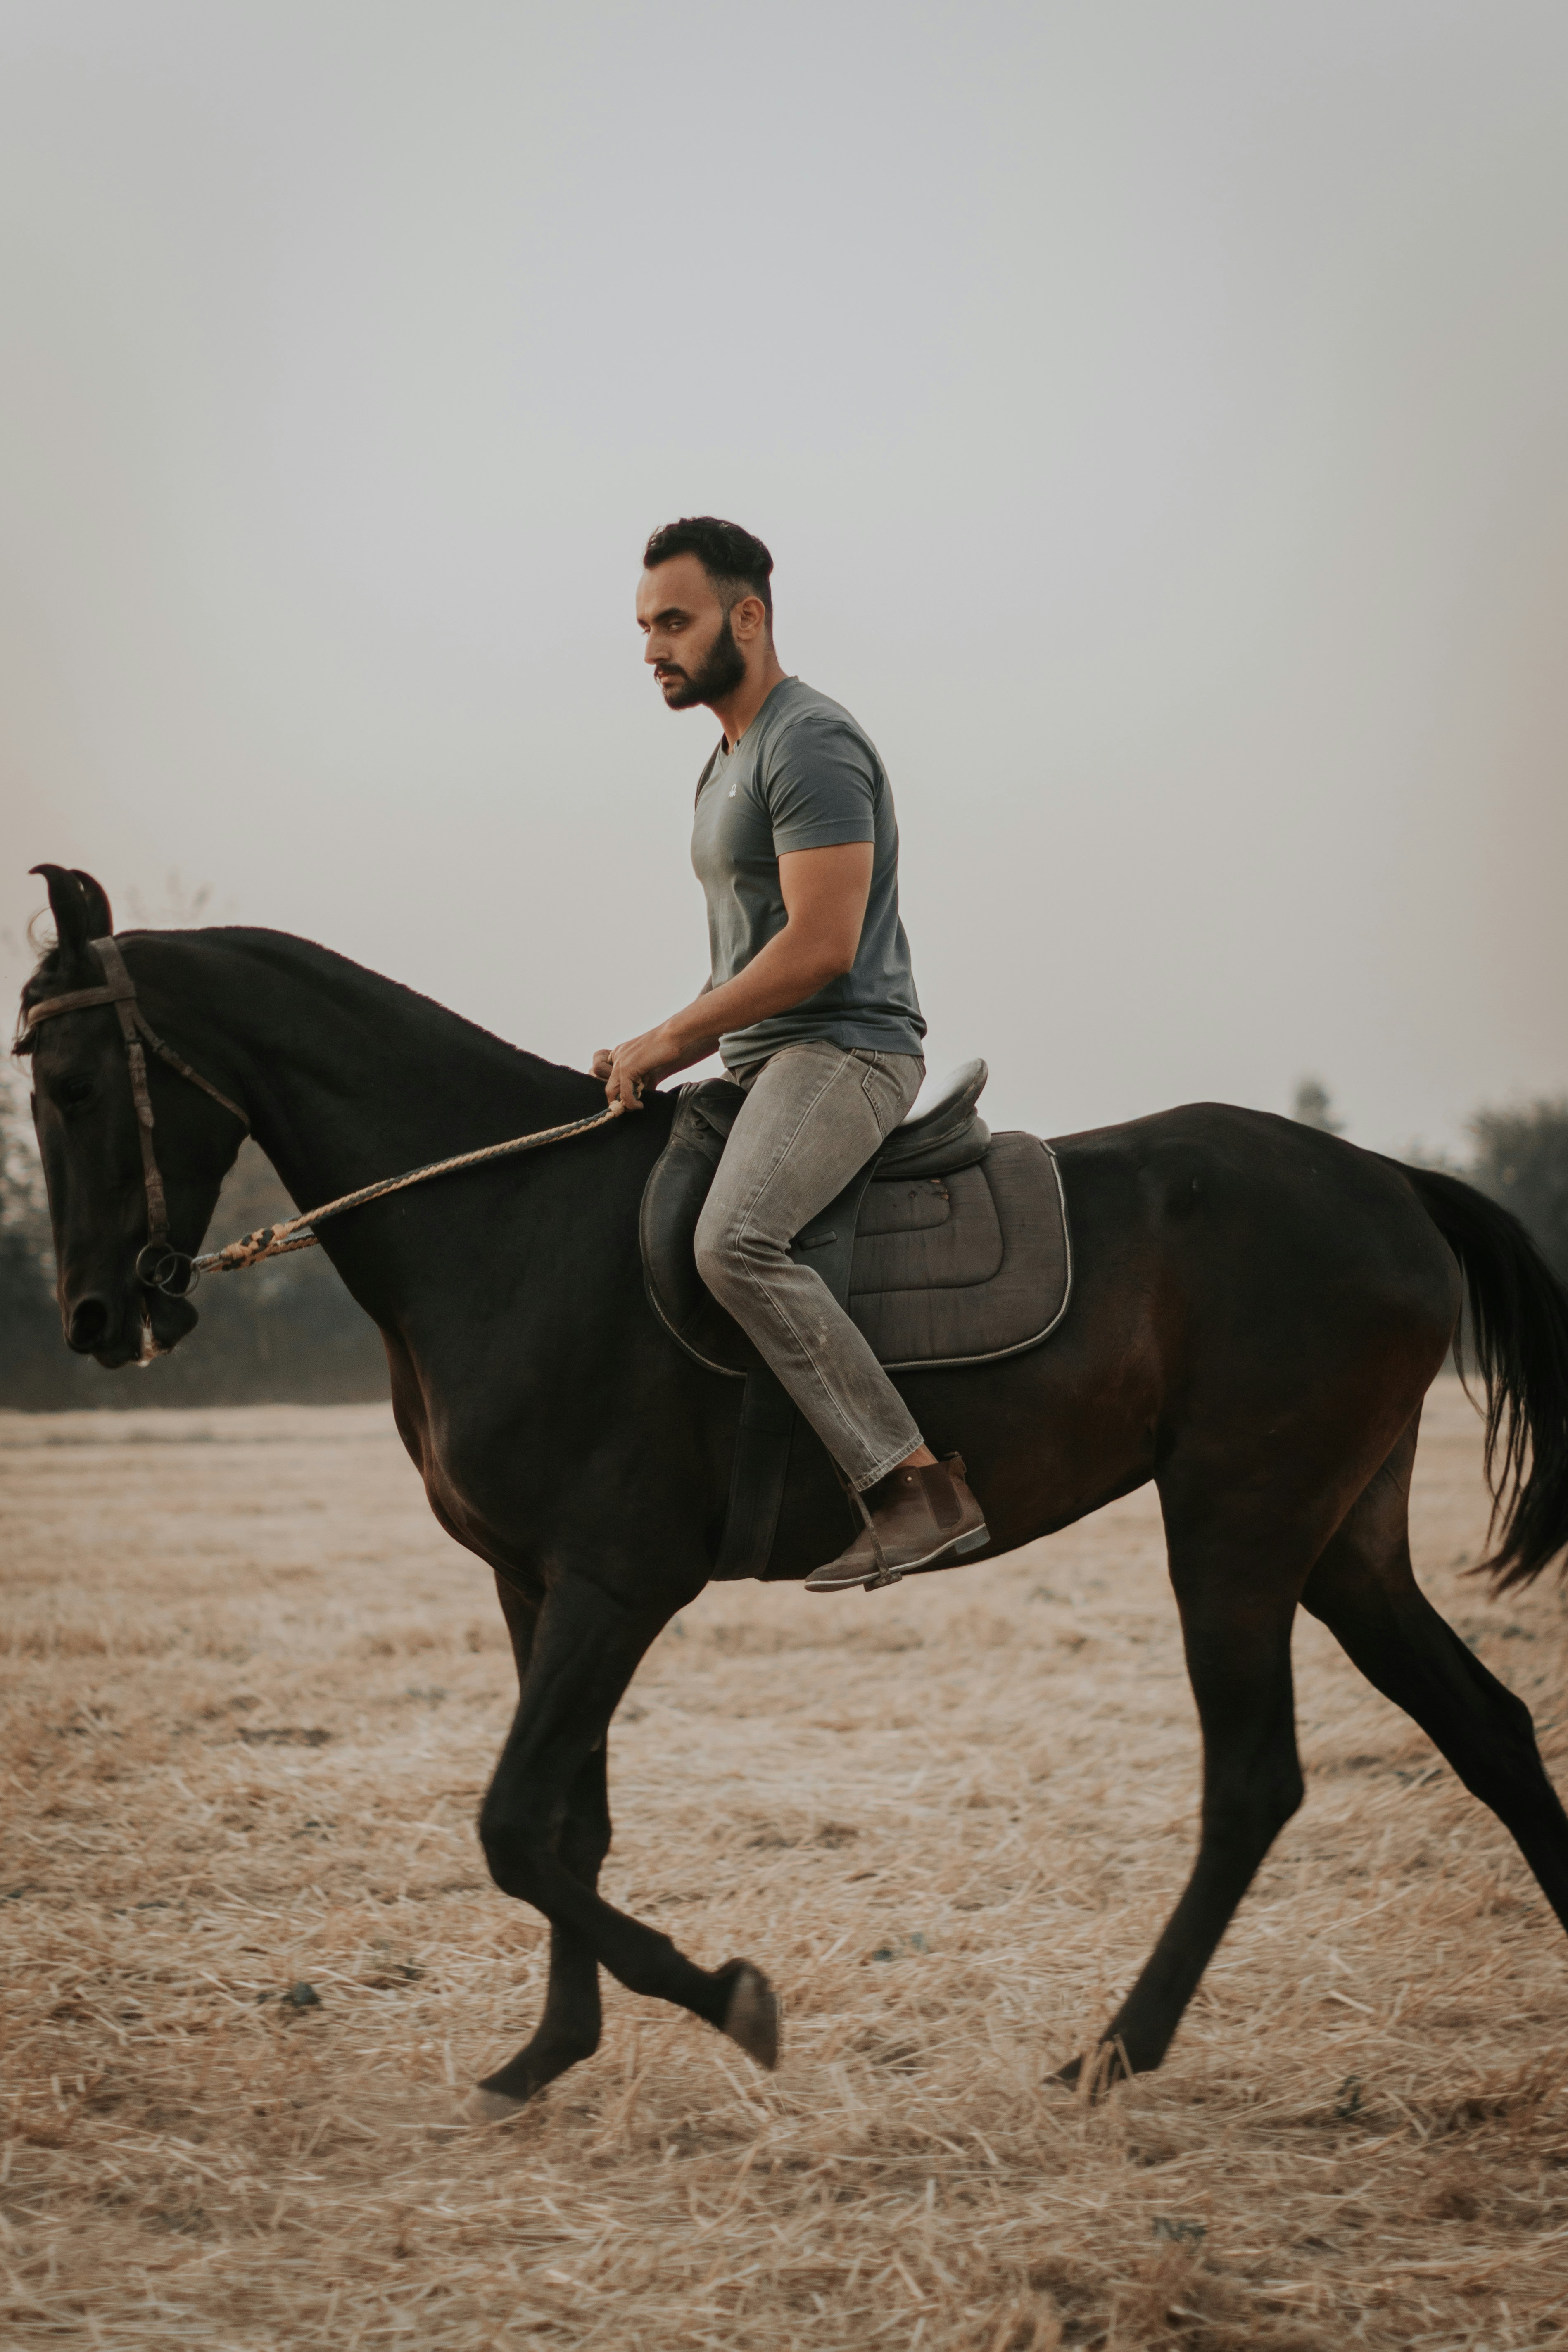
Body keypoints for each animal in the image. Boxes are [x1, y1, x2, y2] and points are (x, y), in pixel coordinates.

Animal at [12, 865, 1568, 2117]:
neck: (506, 1224)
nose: (94, 1316)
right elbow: (567, 1821)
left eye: (74, 1084)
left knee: (1251, 1779)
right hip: (1341, 1541)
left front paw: (728, 1999)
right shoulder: (534, 1583)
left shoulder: (615, 1583)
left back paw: (1110, 2051)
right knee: (1485, 1730)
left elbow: (515, 1822)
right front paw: (548, 2053)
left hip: (1236, 1529)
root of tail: (1388, 1180)